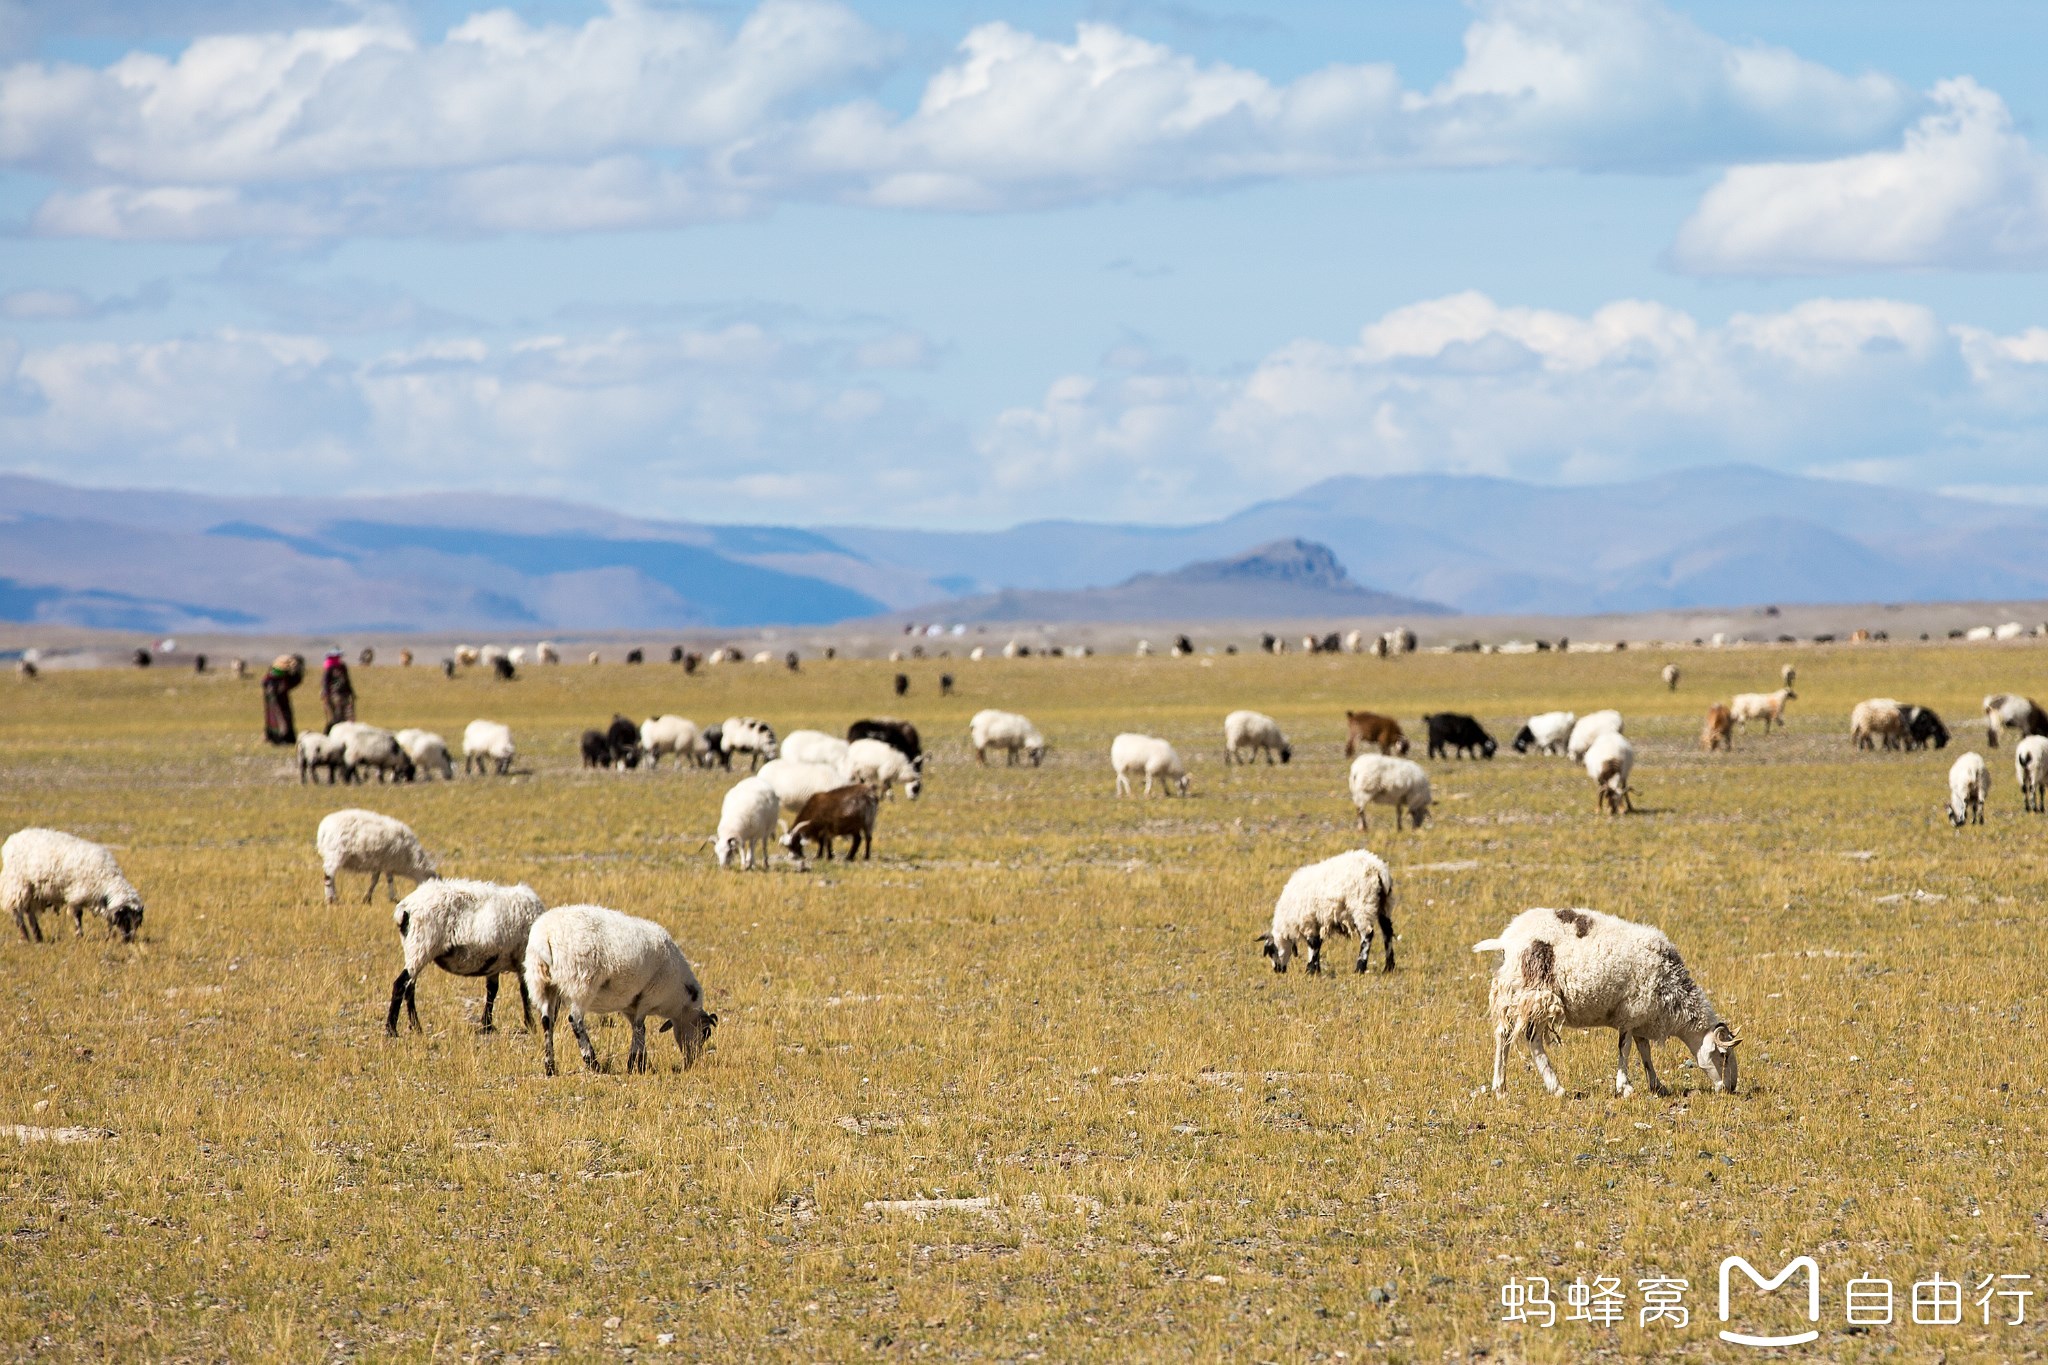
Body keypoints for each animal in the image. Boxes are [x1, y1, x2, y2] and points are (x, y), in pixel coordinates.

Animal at [1, 826, 146, 945]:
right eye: (125, 919)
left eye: (137, 923)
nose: (128, 940)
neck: (105, 879)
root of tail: (11, 840)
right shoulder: (77, 894)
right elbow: (77, 915)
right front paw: (79, 935)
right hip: (17, 885)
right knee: (16, 911)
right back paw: (25, 937)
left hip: (31, 891)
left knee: (30, 912)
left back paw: (38, 937)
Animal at [385, 879, 544, 1039]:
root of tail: (405, 908)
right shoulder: (522, 958)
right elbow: (524, 992)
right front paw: (530, 1024)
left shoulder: (494, 964)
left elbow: (492, 991)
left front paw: (487, 1025)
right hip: (421, 946)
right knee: (400, 984)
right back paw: (391, 1030)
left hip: (413, 949)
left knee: (409, 988)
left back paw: (416, 1027)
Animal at [524, 908, 716, 1080]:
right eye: (705, 1032)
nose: (692, 1061)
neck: (679, 998)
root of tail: (545, 936)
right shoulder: (648, 997)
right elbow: (640, 1028)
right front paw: (635, 1064)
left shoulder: (631, 1004)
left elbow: (638, 1029)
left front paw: (640, 1063)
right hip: (581, 982)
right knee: (575, 1020)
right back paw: (592, 1062)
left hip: (542, 984)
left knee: (547, 1021)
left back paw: (550, 1066)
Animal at [1253, 847, 1400, 978]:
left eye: (1271, 951)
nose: (1277, 970)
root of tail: (1378, 869)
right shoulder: (1318, 921)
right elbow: (1317, 944)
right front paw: (1315, 969)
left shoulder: (1308, 921)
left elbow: (1312, 944)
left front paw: (1310, 970)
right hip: (1385, 903)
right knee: (1387, 932)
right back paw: (1388, 967)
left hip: (1362, 904)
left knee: (1367, 935)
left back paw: (1360, 968)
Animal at [1474, 908, 1744, 1096]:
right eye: (1723, 1055)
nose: (1730, 1088)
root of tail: (1507, 941)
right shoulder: (1631, 1011)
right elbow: (1625, 1048)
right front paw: (1625, 1087)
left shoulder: (1642, 1017)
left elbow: (1644, 1051)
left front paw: (1657, 1085)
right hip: (1538, 995)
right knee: (1532, 1039)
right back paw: (1556, 1087)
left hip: (1512, 993)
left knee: (1503, 1035)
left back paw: (1500, 1088)